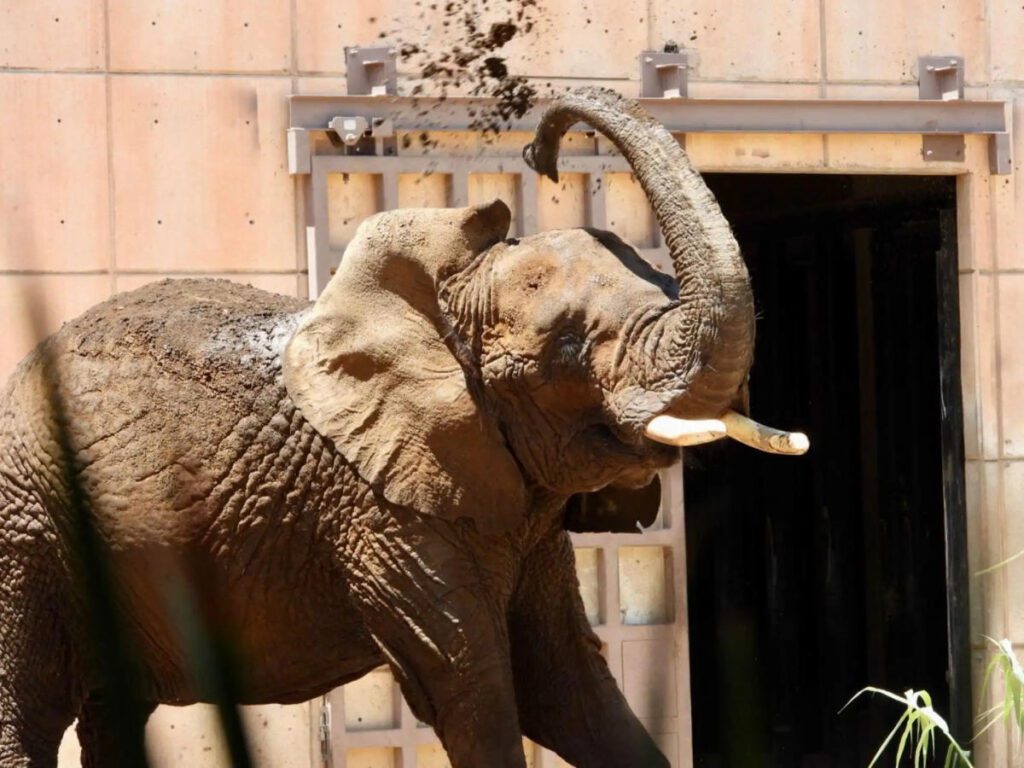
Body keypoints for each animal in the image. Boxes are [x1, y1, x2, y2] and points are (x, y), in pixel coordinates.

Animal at [0, 87, 802, 765]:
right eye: (571, 349)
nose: (539, 153)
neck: (444, 303)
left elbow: (568, 687)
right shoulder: (379, 512)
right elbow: (475, 691)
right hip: (27, 530)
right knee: (26, 709)